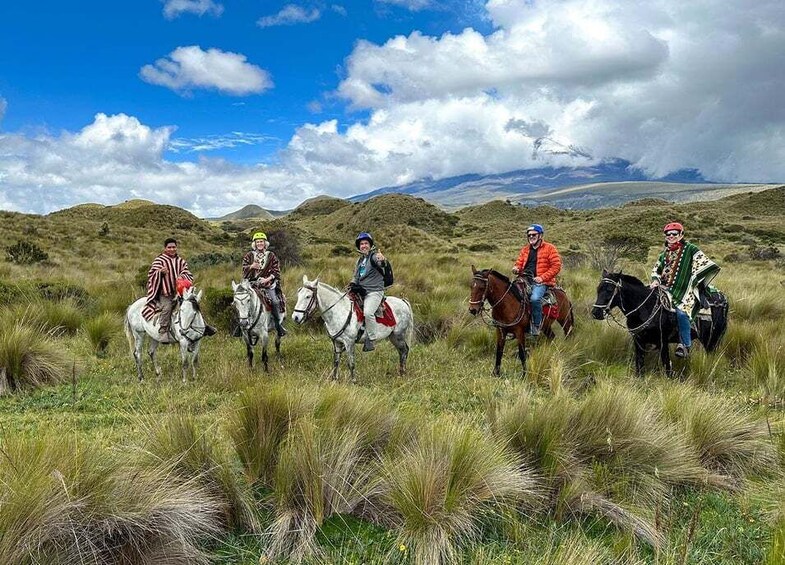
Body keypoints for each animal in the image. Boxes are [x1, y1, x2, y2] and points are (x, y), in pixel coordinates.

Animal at [588, 268, 728, 374]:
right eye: (598, 288)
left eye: (609, 290)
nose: (596, 313)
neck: (646, 307)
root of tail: (723, 299)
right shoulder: (639, 341)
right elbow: (640, 365)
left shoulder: (663, 341)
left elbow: (667, 366)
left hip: (711, 339)